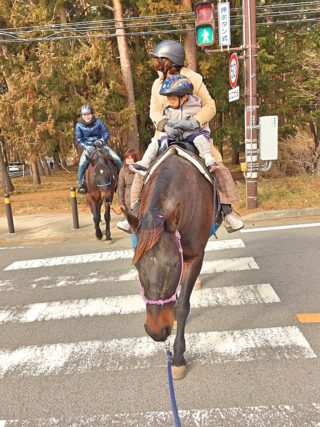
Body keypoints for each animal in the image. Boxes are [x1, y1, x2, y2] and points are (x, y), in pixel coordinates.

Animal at [124, 152, 220, 380]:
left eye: (174, 264)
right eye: (137, 267)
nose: (156, 331)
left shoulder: (194, 257)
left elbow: (183, 306)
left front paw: (177, 357)